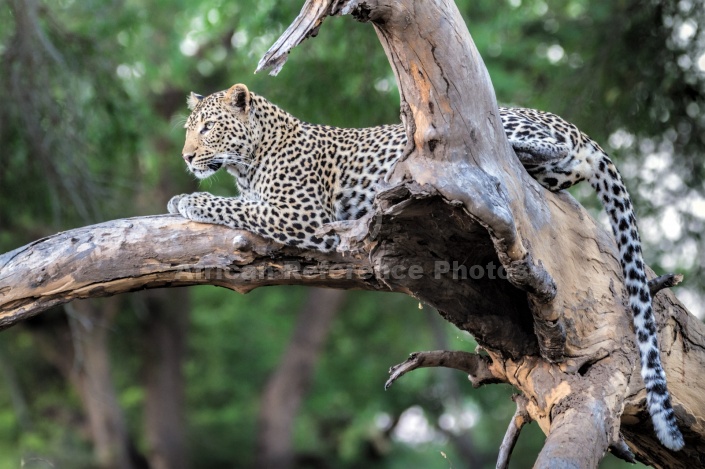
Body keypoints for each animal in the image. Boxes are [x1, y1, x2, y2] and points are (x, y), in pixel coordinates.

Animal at [169, 83, 680, 450]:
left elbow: (233, 207)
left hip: (506, 128)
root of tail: (573, 126)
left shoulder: (303, 215)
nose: (187, 157)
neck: (249, 160)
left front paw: (185, 199)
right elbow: (239, 204)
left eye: (208, 128)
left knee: (530, 144)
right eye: (189, 130)